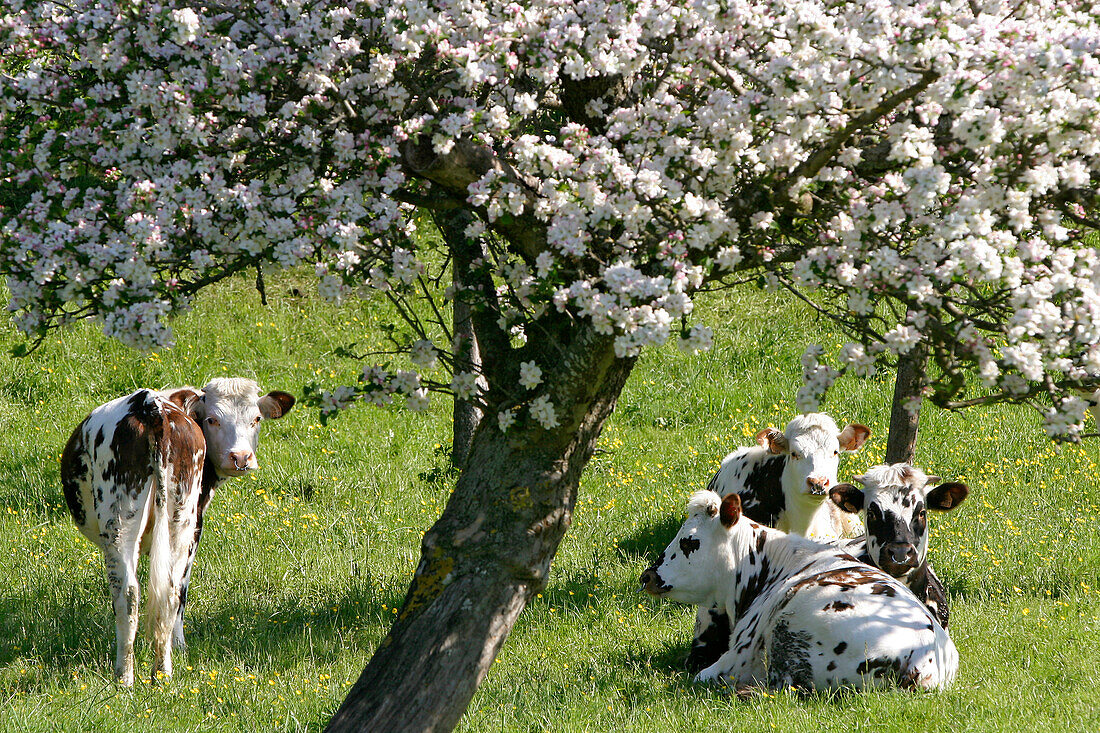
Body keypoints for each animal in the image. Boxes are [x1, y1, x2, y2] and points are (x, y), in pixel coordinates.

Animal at [60, 376, 292, 686]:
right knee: (172, 589)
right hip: (180, 519)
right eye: (212, 419)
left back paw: (125, 676)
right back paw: (163, 670)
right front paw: (179, 647)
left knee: (128, 593)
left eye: (256, 419)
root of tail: (150, 405)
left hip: (120, 521)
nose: (241, 458)